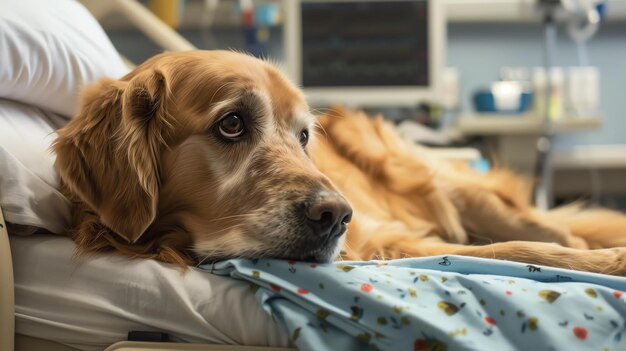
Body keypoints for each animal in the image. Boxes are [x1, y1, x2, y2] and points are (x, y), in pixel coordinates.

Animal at [53, 50, 624, 276]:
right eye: (231, 124)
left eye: (304, 136)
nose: (337, 216)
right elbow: (504, 252)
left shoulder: (390, 238)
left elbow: (518, 250)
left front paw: (609, 261)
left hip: (457, 191)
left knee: (555, 230)